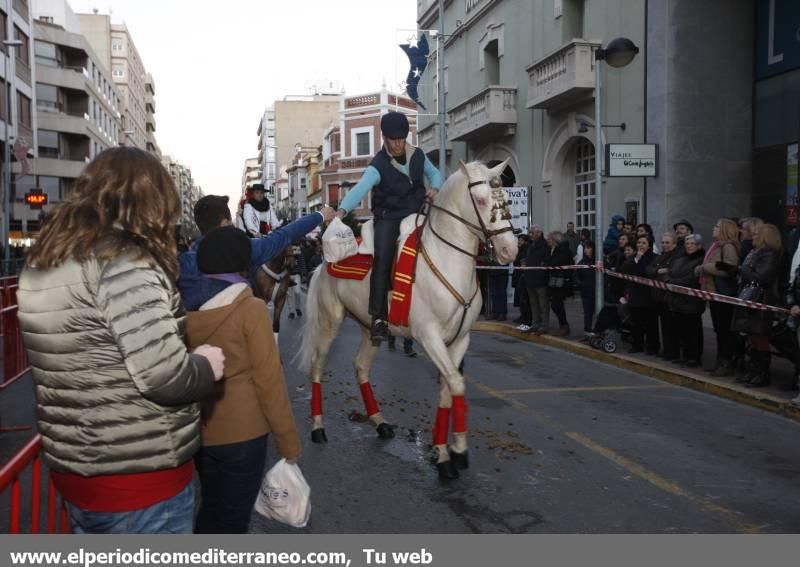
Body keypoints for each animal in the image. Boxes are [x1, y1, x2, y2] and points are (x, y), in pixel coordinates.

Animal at [296, 160, 516, 480]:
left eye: (507, 199)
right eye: (483, 200)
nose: (510, 250)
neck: (446, 258)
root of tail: (324, 264)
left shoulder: (459, 339)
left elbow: (449, 388)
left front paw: (448, 449)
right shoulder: (429, 336)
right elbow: (456, 383)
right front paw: (451, 455)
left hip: (370, 328)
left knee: (360, 366)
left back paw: (379, 422)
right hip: (329, 323)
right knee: (317, 367)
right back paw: (318, 427)